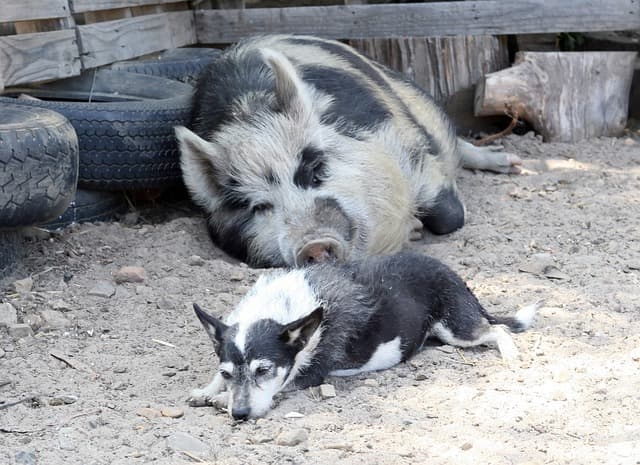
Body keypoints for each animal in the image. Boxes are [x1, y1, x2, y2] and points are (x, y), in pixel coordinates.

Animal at [175, 35, 520, 267]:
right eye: (259, 207)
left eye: (315, 171)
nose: (312, 244)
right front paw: (415, 230)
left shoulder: (406, 142)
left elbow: (450, 216)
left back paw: (511, 163)